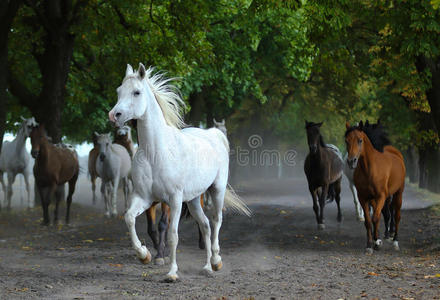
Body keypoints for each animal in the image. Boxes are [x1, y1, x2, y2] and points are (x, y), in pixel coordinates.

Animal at [108, 63, 249, 282]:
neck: (156, 153)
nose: (114, 116)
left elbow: (173, 235)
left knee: (216, 221)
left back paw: (216, 262)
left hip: (216, 190)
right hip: (193, 199)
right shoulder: (145, 198)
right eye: (118, 91)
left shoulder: (173, 200)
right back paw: (206, 267)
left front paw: (172, 273)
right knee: (205, 225)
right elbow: (130, 218)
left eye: (137, 92)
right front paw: (144, 255)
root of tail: (214, 134)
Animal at [344, 120, 406, 254]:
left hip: (398, 193)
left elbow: (376, 218)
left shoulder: (381, 196)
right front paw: (369, 245)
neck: (370, 169)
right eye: (346, 140)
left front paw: (377, 243)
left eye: (360, 140)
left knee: (397, 216)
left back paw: (395, 242)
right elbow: (368, 221)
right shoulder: (363, 198)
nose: (351, 161)